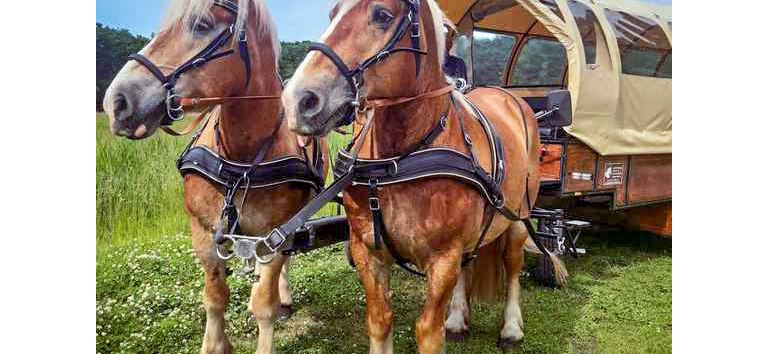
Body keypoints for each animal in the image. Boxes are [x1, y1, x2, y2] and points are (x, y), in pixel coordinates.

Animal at [100, 1, 326, 352]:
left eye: (203, 24)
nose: (116, 102)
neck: (241, 156)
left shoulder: (277, 233)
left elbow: (264, 303)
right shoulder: (204, 232)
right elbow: (215, 297)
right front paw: (217, 343)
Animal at [280, 1, 568, 352]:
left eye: (383, 15)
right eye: (332, 14)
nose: (298, 100)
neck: (397, 162)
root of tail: (515, 100)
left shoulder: (443, 257)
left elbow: (428, 331)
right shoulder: (367, 251)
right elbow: (380, 321)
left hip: (518, 214)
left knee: (512, 263)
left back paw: (511, 328)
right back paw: (457, 318)